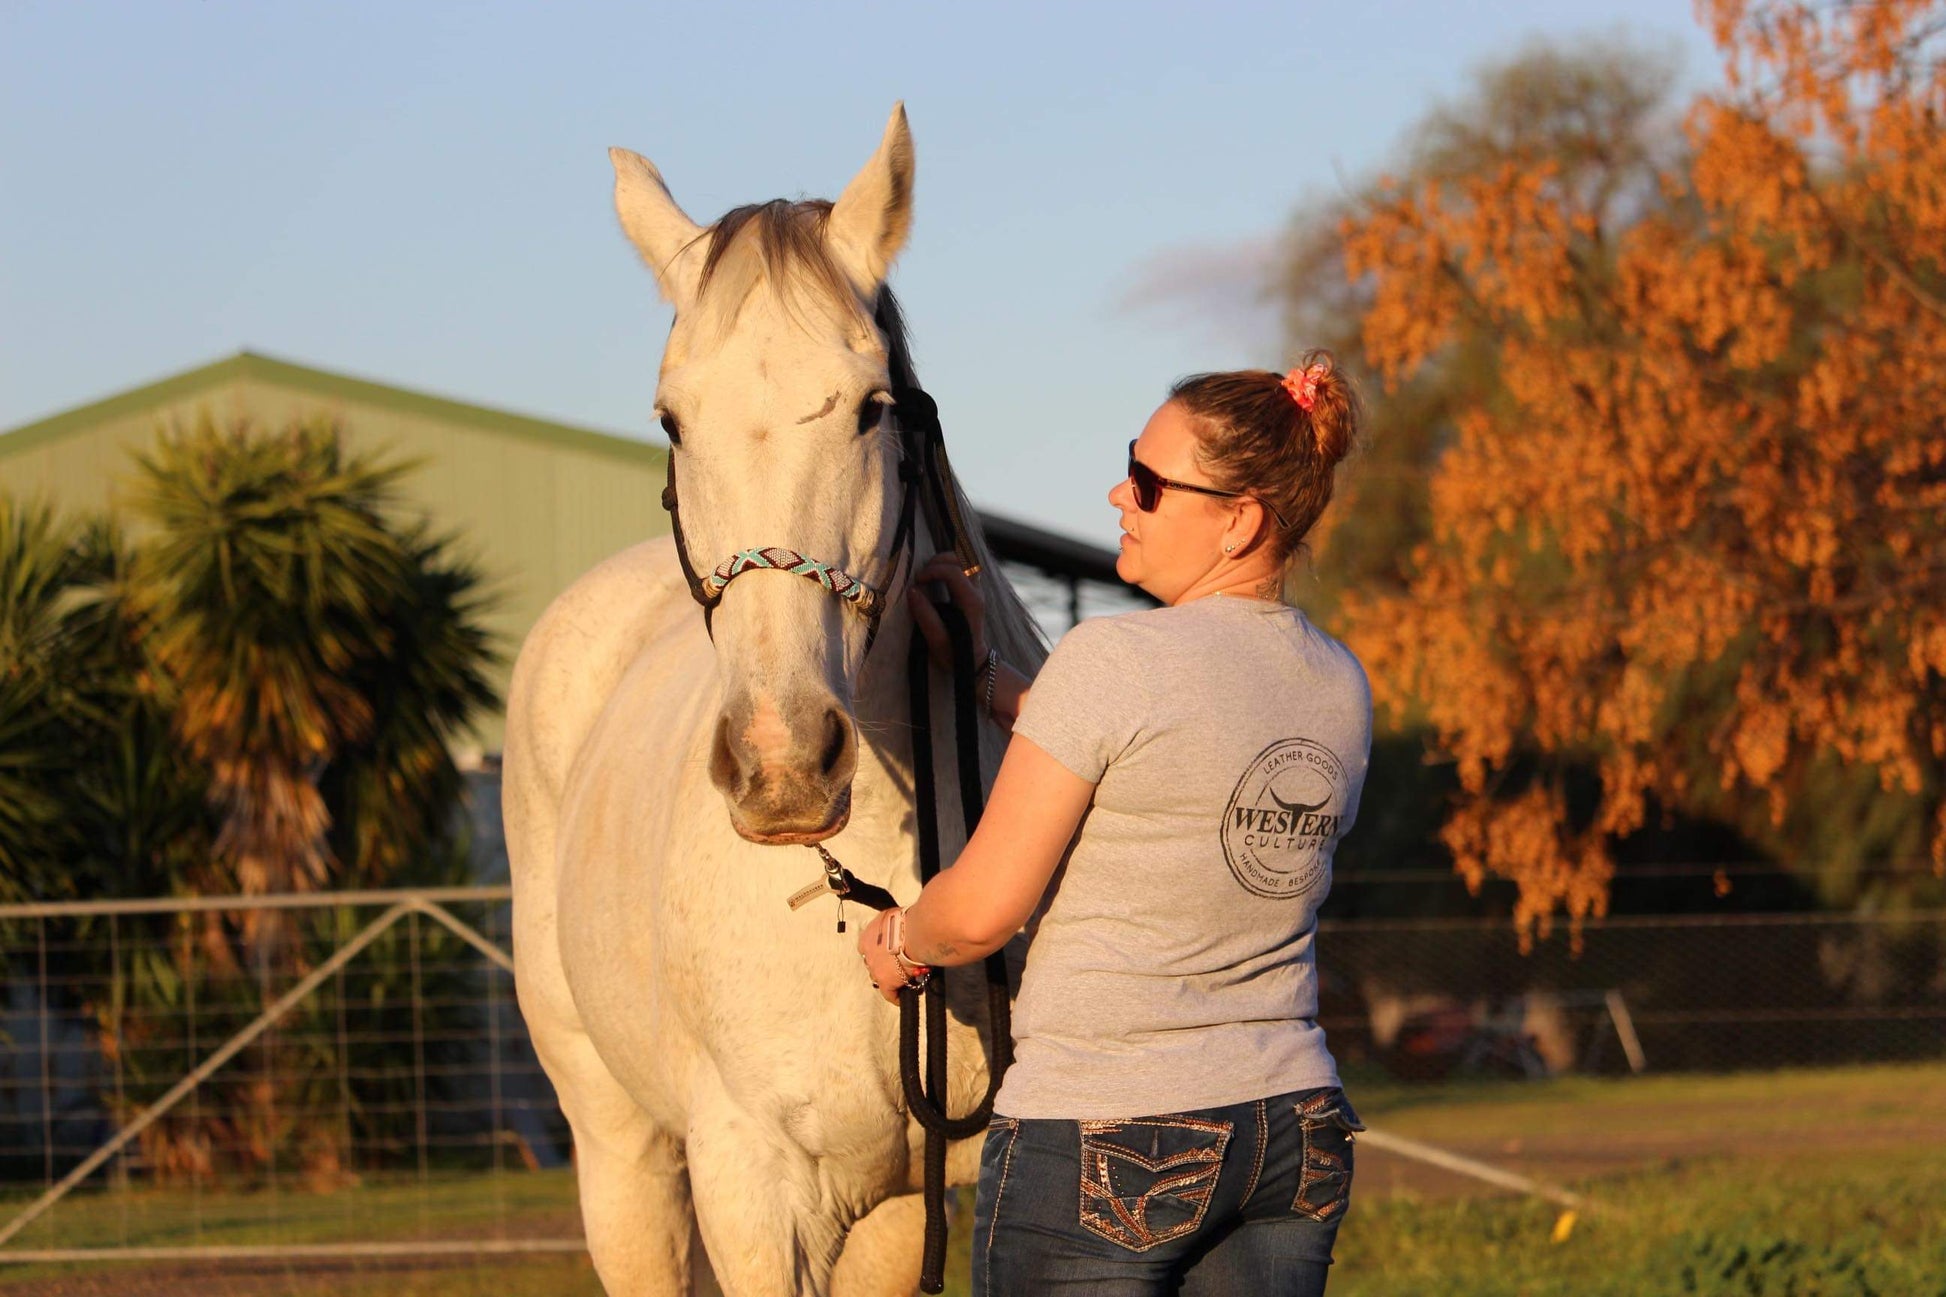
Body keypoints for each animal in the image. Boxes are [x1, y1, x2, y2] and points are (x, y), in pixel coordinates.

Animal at [505, 103, 1050, 1293]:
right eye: (671, 420)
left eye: (871, 408)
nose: (781, 763)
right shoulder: (752, 1184)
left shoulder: (912, 1195)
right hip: (619, 1147)